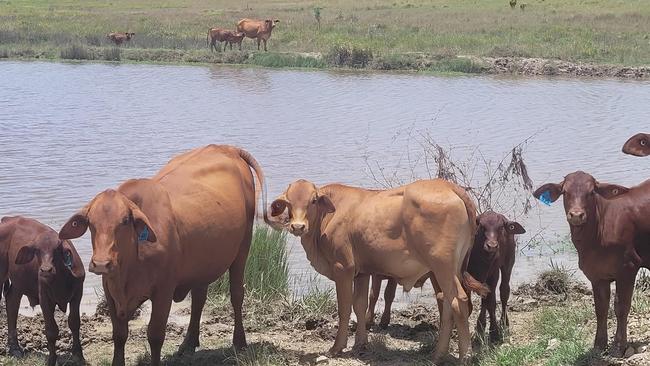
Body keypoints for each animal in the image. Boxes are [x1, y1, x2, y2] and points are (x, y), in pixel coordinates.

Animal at [56, 146, 268, 366]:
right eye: (91, 222)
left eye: (125, 221)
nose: (101, 263)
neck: (129, 267)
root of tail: (225, 147)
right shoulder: (110, 290)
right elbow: (119, 335)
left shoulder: (164, 290)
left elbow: (155, 335)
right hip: (202, 264)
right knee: (199, 299)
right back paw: (188, 343)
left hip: (243, 248)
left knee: (236, 294)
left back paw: (239, 342)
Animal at [268, 179, 486, 362]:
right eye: (288, 202)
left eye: (313, 201)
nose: (298, 226)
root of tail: (448, 186)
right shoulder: (362, 273)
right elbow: (360, 305)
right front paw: (360, 344)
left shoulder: (343, 269)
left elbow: (345, 308)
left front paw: (337, 347)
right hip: (449, 270)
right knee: (447, 303)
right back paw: (438, 354)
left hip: (442, 266)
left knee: (458, 301)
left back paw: (464, 356)